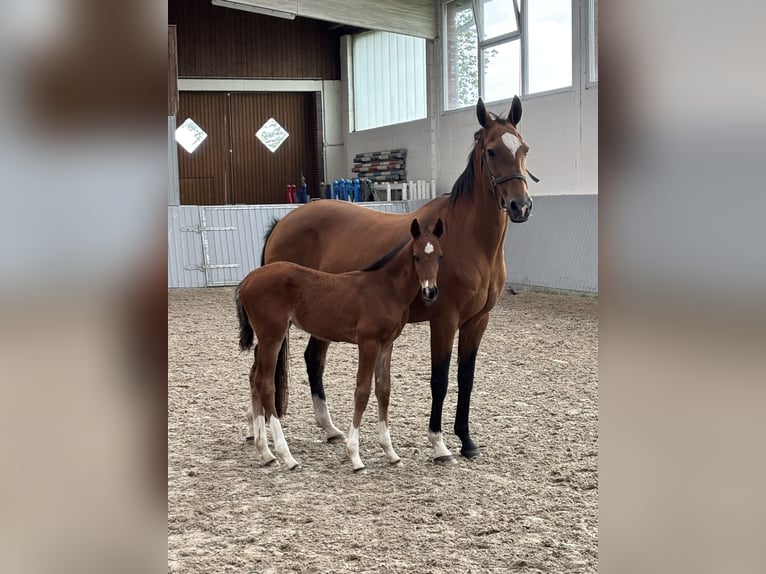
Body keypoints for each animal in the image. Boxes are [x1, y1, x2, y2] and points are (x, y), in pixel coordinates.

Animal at [236, 218, 444, 471]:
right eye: (415, 256)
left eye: (440, 256)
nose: (430, 291)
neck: (385, 289)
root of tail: (248, 280)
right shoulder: (368, 343)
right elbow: (362, 391)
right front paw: (355, 456)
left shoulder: (387, 345)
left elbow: (383, 390)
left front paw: (391, 453)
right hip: (272, 335)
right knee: (265, 383)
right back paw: (287, 456)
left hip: (268, 337)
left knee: (254, 377)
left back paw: (265, 452)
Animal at [256, 96, 534, 464]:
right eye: (490, 151)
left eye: (524, 148)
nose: (520, 206)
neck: (467, 238)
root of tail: (283, 223)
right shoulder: (444, 320)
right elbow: (440, 379)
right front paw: (439, 444)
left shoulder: (477, 321)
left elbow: (467, 378)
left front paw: (466, 441)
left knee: (313, 360)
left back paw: (329, 429)